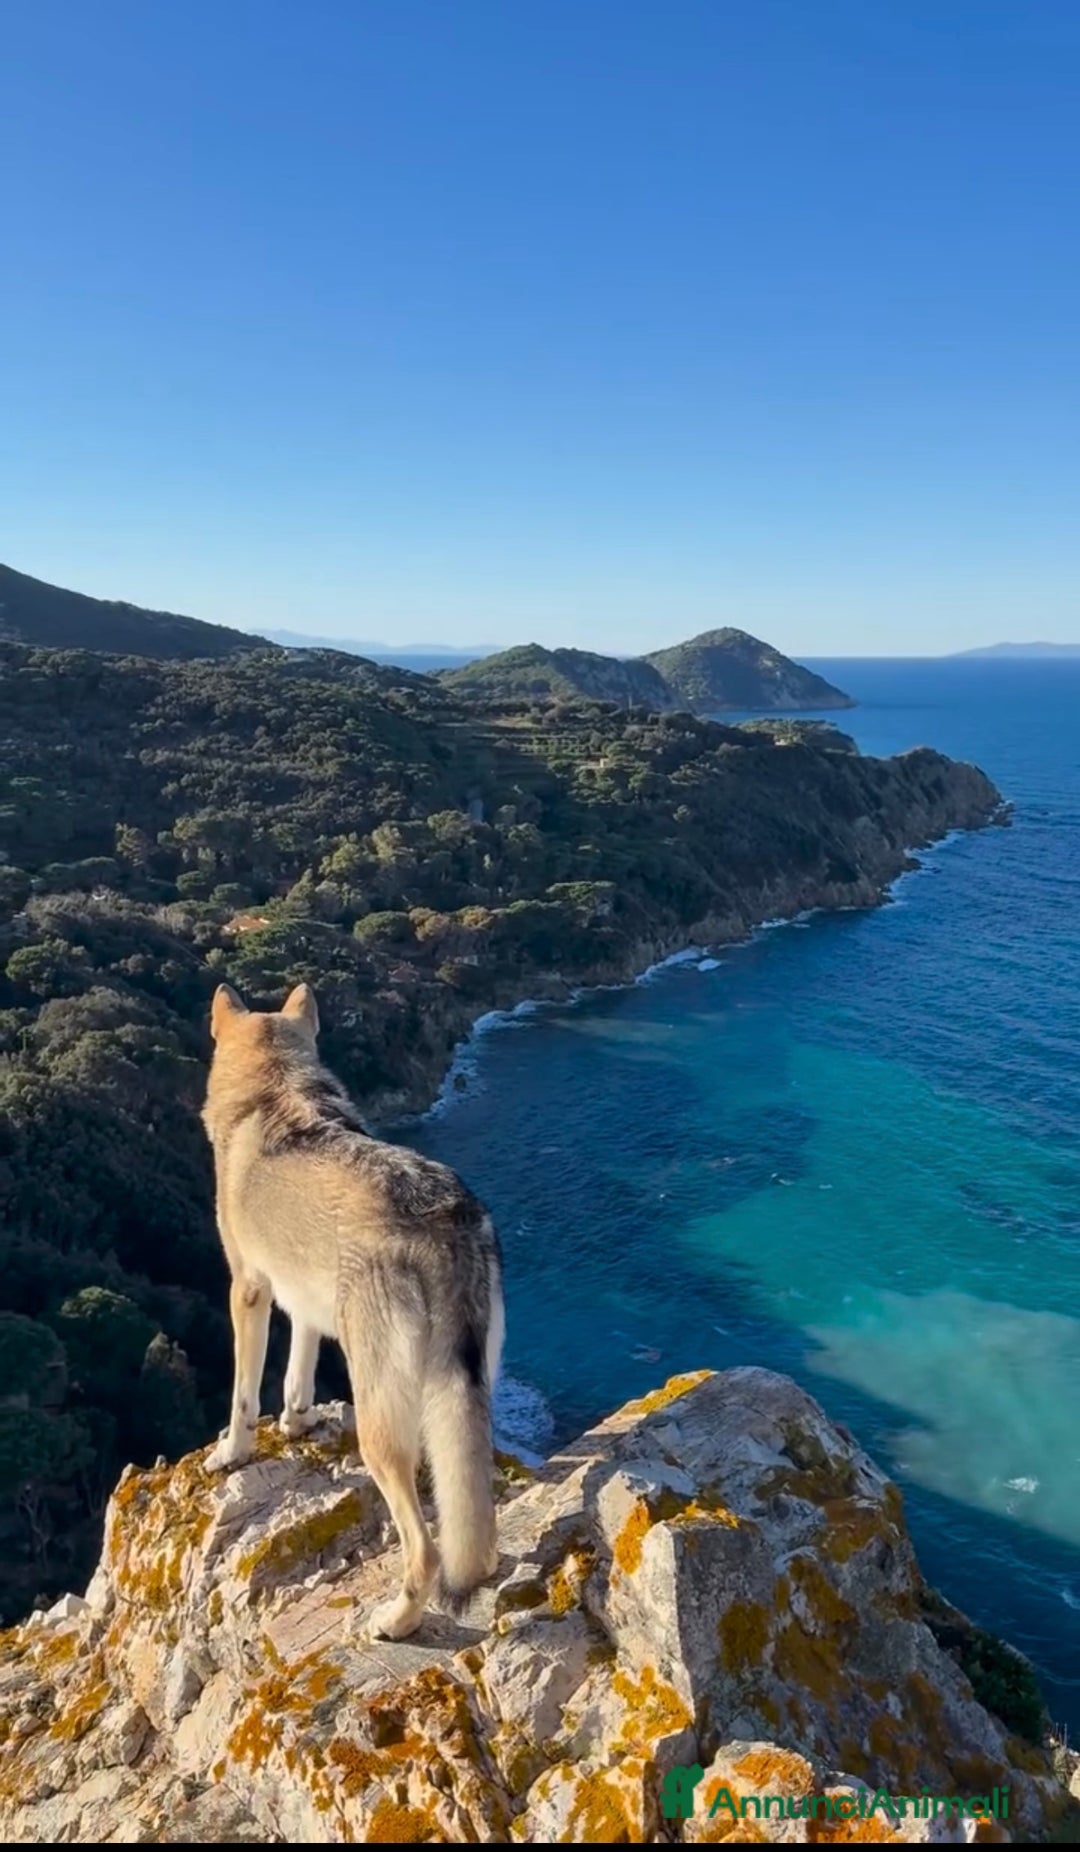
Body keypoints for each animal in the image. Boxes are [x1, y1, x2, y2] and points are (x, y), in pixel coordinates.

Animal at [200, 981, 504, 1640]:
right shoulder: (305, 1298)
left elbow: (242, 1395)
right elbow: (299, 1371)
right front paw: (297, 1422)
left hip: (381, 1432)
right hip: (467, 1394)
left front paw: (232, 1453)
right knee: (473, 1511)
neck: (274, 1085)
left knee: (427, 1548)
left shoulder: (248, 1290)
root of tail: (443, 1219)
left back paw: (397, 1621)